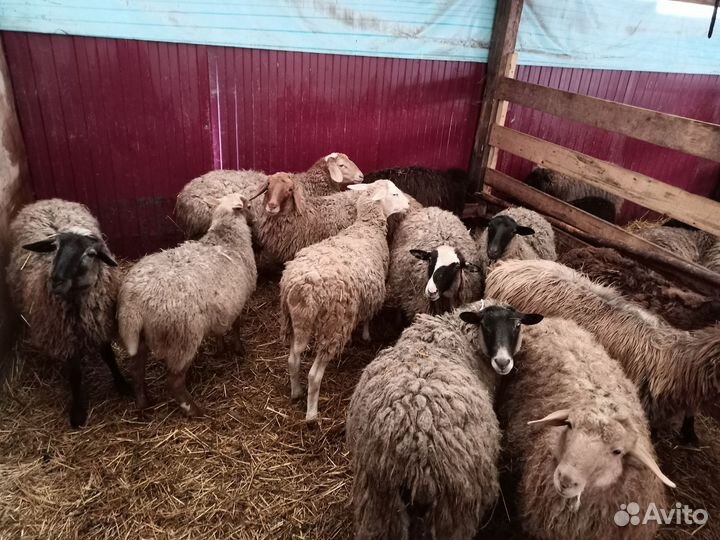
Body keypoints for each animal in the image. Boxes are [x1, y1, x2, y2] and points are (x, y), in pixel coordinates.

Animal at [6, 198, 131, 428]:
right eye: (54, 248)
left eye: (90, 254)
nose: (56, 280)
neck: (78, 309)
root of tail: (45, 200)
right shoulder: (64, 338)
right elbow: (74, 375)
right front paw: (78, 412)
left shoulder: (100, 325)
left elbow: (109, 357)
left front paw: (122, 385)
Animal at [118, 193, 256, 416]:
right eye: (249, 205)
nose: (255, 221)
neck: (227, 238)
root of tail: (134, 304)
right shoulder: (238, 302)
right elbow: (236, 326)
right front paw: (238, 349)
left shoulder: (222, 306)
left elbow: (219, 331)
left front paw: (220, 349)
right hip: (182, 339)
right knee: (173, 382)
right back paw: (194, 410)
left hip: (139, 338)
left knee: (136, 371)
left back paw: (142, 404)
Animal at [280, 180, 409, 423]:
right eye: (395, 194)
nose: (407, 205)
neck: (366, 227)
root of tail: (303, 288)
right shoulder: (373, 291)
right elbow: (368, 317)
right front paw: (367, 335)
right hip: (334, 326)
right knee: (314, 375)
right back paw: (311, 414)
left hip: (292, 320)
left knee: (292, 359)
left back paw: (296, 392)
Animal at [346, 299, 544, 540]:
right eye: (485, 326)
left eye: (517, 326)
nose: (503, 362)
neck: (457, 330)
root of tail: (413, 446)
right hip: (451, 507)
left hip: (380, 502)